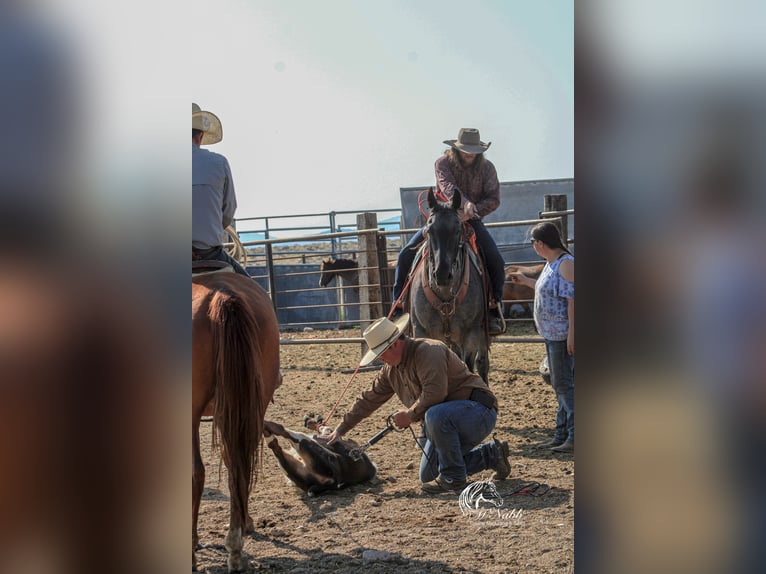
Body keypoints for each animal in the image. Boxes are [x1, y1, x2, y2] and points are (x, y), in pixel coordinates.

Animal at [408, 189, 492, 384]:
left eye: (458, 229)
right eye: (429, 230)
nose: (442, 274)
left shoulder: (471, 334)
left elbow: (467, 366)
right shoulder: (421, 331)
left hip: (481, 331)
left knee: (482, 363)